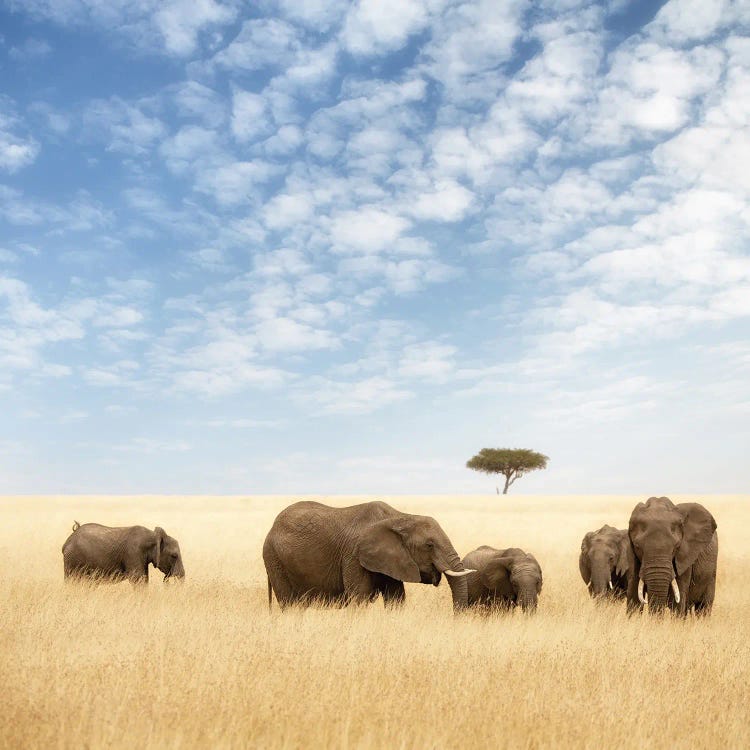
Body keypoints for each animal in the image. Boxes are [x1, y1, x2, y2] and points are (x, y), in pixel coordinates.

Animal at [262, 502, 476, 612]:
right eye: (429, 545)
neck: (400, 517)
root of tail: (272, 527)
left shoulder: (393, 559)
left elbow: (396, 598)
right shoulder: (354, 556)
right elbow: (359, 597)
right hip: (274, 559)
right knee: (290, 604)